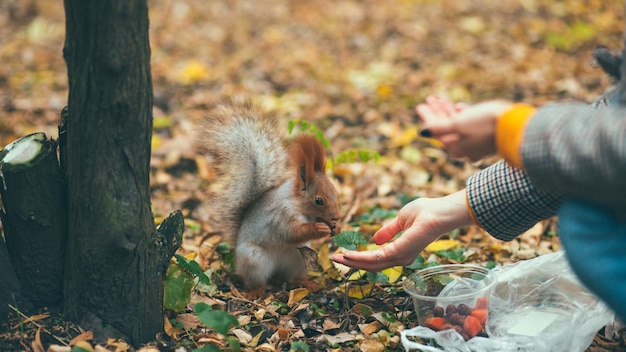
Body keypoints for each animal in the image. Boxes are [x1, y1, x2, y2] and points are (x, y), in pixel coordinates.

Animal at [196, 95, 338, 294]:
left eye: (335, 191)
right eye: (318, 200)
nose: (337, 216)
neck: (295, 203)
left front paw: (336, 228)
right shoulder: (280, 216)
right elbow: (291, 233)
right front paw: (319, 228)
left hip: (296, 258)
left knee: (291, 277)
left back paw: (305, 282)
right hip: (255, 260)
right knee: (253, 281)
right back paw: (257, 292)